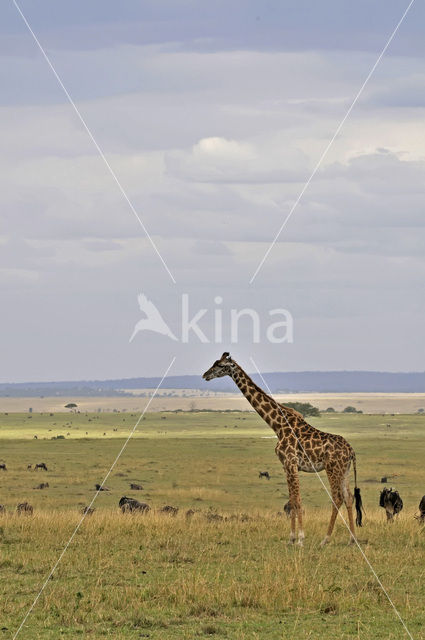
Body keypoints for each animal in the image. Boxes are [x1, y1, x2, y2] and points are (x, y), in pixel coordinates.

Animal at [202, 352, 362, 548]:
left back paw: (325, 539)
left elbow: (297, 500)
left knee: (337, 498)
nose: (205, 375)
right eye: (215, 363)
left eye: (220, 365)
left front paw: (300, 539)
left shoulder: (291, 463)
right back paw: (352, 540)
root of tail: (351, 451)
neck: (277, 425)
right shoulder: (286, 466)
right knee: (349, 498)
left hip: (333, 468)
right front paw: (291, 539)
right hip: (345, 470)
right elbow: (292, 500)